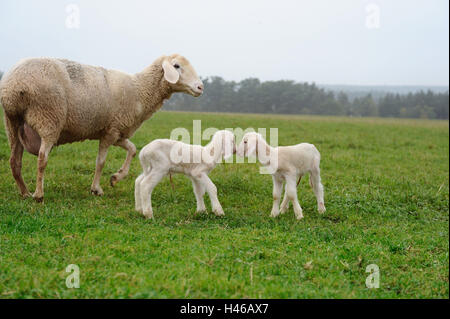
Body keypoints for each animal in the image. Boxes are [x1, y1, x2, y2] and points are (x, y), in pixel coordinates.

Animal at [0, 53, 203, 201]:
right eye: (176, 66)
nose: (200, 87)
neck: (140, 90)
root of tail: (13, 84)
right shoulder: (110, 133)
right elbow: (100, 162)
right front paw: (96, 189)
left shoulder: (116, 131)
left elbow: (132, 149)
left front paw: (116, 177)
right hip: (49, 118)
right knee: (42, 158)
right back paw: (38, 195)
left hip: (12, 123)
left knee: (14, 161)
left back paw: (24, 192)